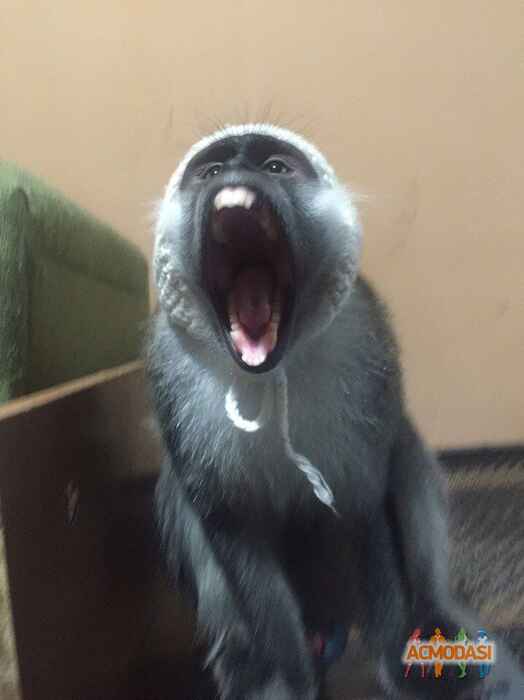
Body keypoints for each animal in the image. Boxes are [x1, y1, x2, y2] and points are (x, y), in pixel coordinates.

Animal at [146, 123, 524, 699]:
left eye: (275, 167)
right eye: (211, 171)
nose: (234, 176)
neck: (272, 374)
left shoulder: (366, 342)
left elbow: (366, 505)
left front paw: (396, 661)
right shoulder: (172, 373)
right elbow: (232, 529)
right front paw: (291, 678)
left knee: (405, 452)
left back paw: (433, 615)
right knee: (178, 495)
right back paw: (245, 652)